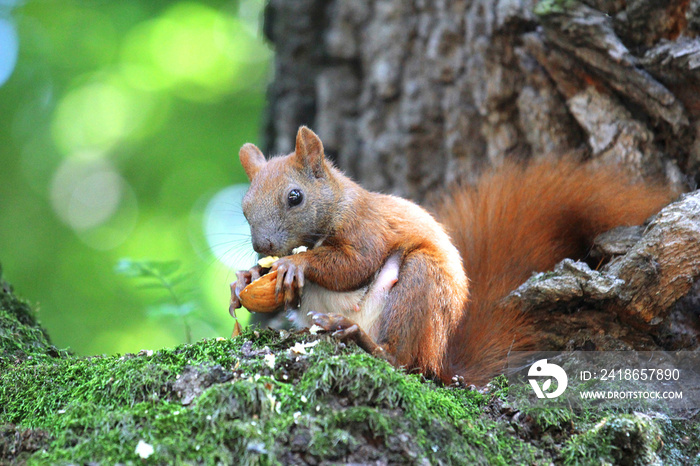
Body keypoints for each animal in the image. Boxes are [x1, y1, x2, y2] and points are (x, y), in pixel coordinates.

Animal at [232, 125, 676, 384]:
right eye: (244, 207)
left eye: (295, 197)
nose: (264, 247)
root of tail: (443, 361)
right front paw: (245, 280)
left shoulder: (366, 226)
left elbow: (354, 264)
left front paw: (294, 265)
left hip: (420, 284)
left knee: (403, 362)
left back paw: (362, 339)